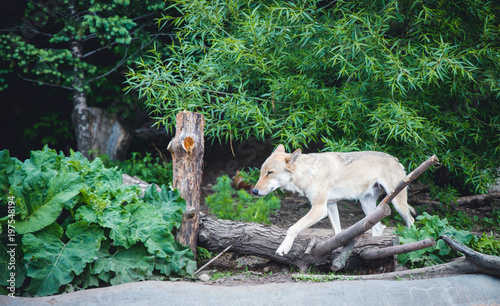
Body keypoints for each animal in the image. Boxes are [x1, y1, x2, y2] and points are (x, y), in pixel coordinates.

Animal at [252, 145, 416, 255]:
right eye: (261, 173)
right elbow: (337, 233)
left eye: (270, 173)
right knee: (378, 227)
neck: (308, 172)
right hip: (368, 206)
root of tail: (395, 159)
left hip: (397, 203)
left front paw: (283, 248)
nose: (254, 191)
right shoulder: (330, 206)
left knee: (411, 221)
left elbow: (292, 228)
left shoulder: (319, 209)